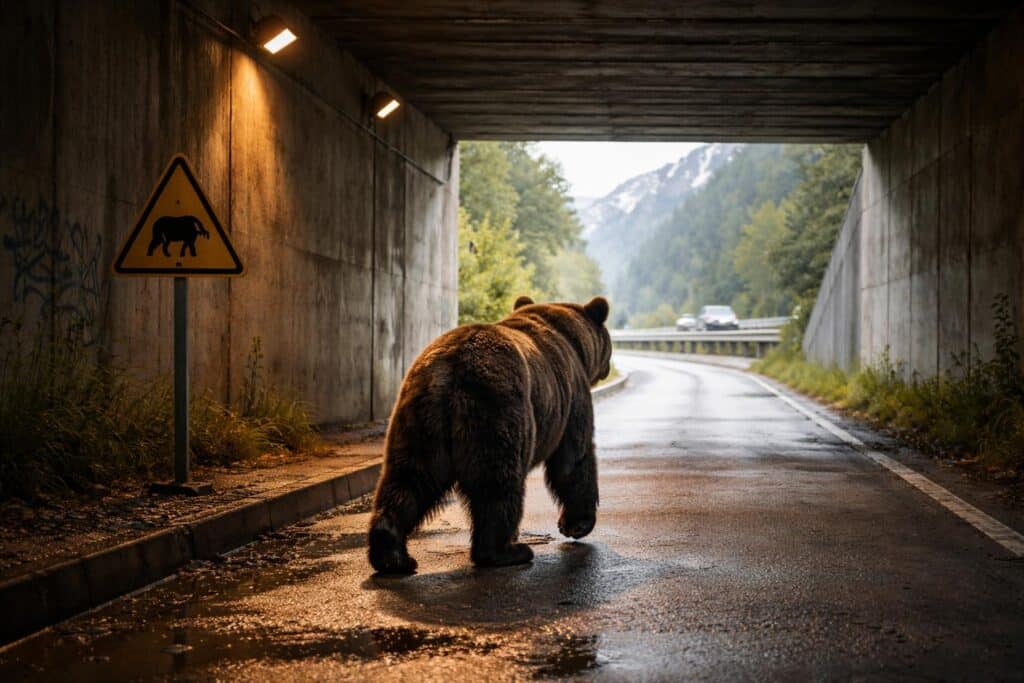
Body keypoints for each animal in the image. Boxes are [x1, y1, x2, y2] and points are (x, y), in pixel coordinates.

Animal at [367, 295, 612, 574]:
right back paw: (506, 551)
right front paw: (576, 524)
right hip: (496, 407)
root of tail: (450, 370)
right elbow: (574, 458)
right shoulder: (572, 397)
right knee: (497, 485)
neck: (574, 343)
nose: (608, 367)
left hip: (418, 420)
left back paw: (393, 556)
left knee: (407, 479)